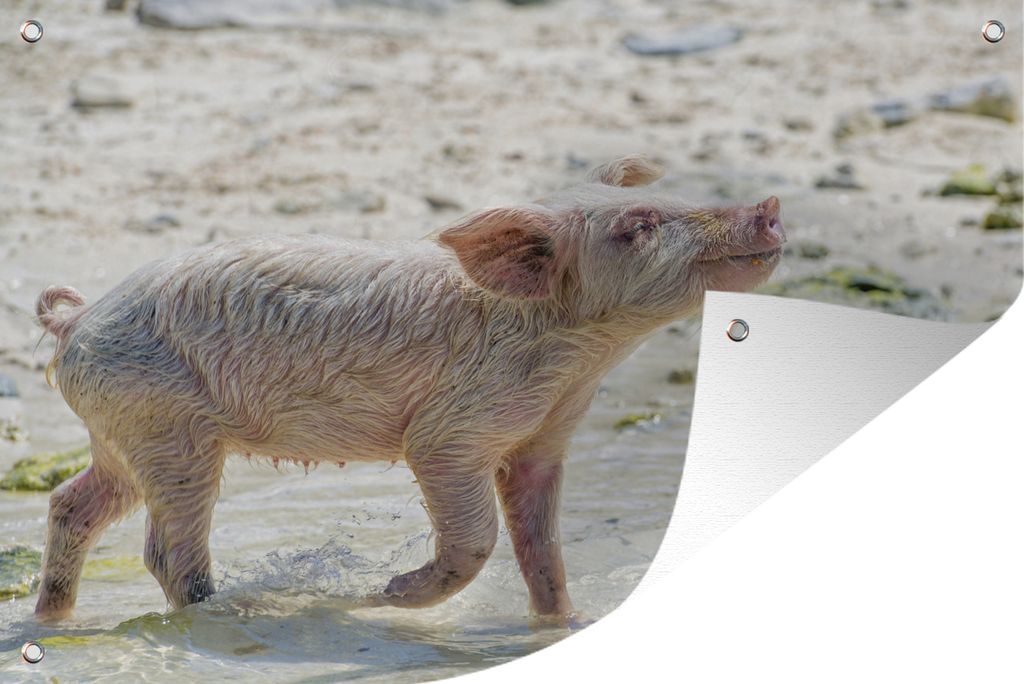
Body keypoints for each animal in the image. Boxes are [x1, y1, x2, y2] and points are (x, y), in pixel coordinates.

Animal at [32, 156, 784, 623]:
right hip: (167, 427)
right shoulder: (452, 431)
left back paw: (53, 619)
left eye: (676, 200)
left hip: (122, 430)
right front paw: (383, 596)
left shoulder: (544, 437)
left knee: (71, 503)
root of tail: (75, 320)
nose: (771, 205)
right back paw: (234, 616)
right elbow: (476, 534)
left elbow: (543, 547)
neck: (577, 358)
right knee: (165, 551)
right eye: (638, 227)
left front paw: (566, 622)